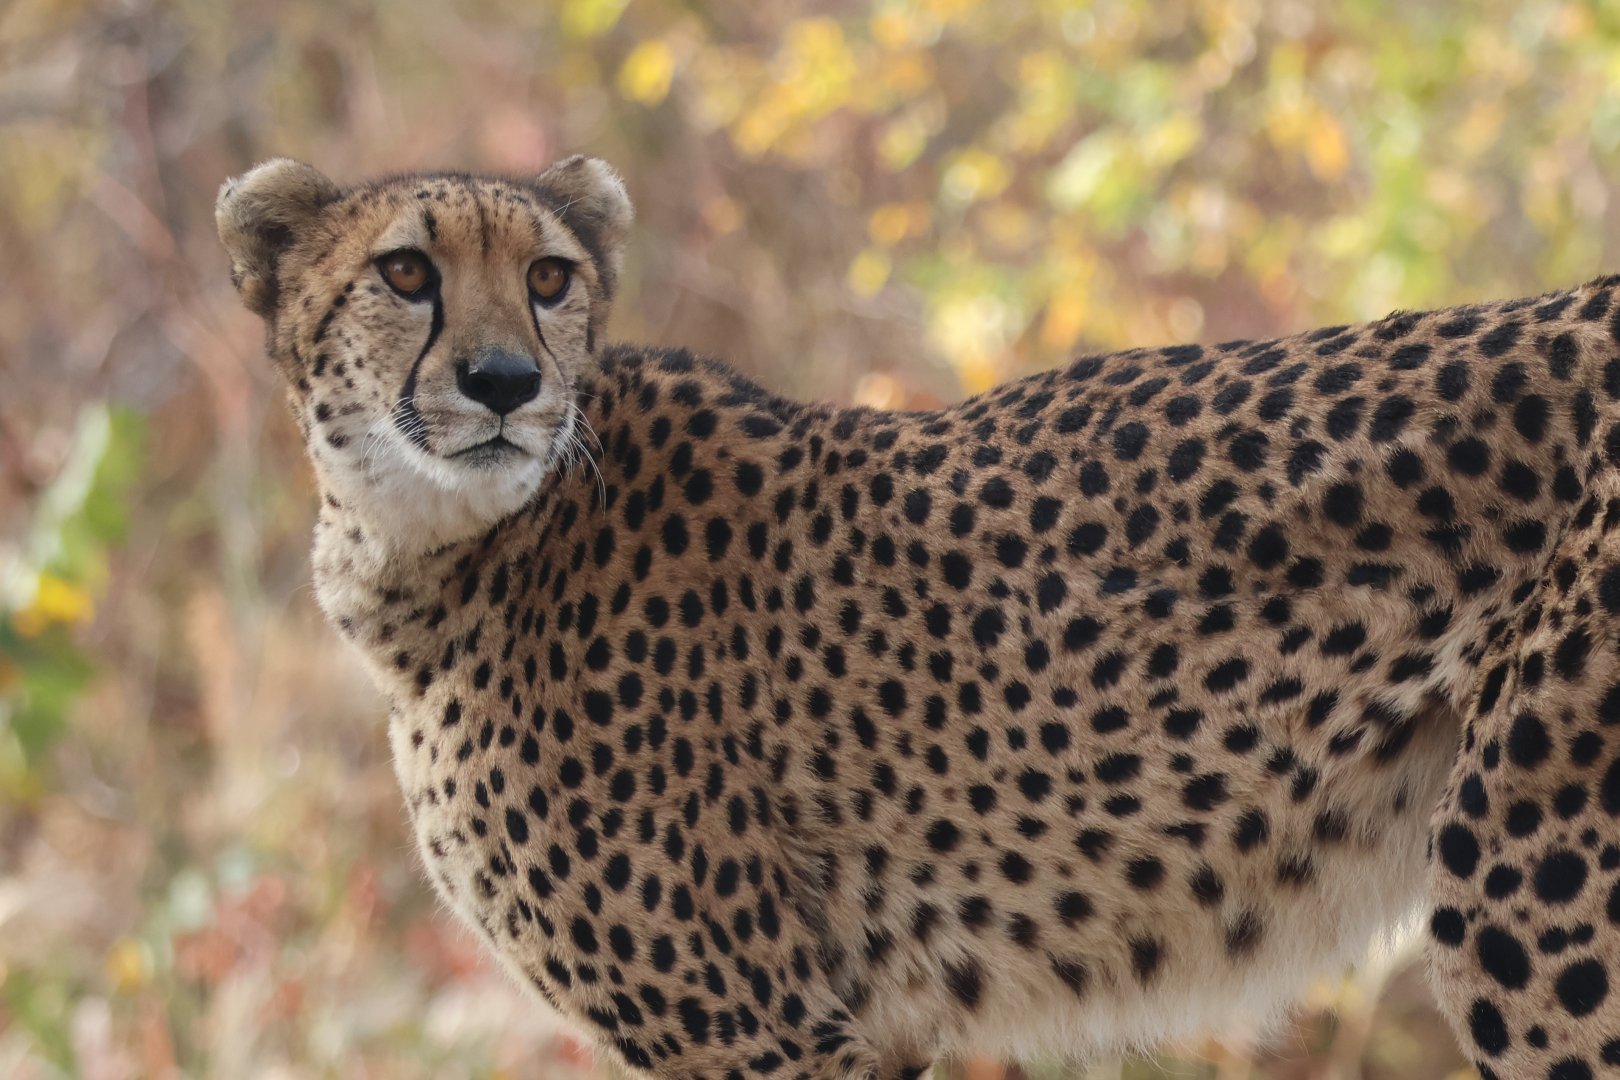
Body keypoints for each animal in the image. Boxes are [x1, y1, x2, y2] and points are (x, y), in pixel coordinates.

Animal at [217, 153, 1620, 1080]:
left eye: (550, 278)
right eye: (405, 271)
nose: (506, 380)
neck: (441, 543)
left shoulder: (765, 1030)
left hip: (1526, 908)